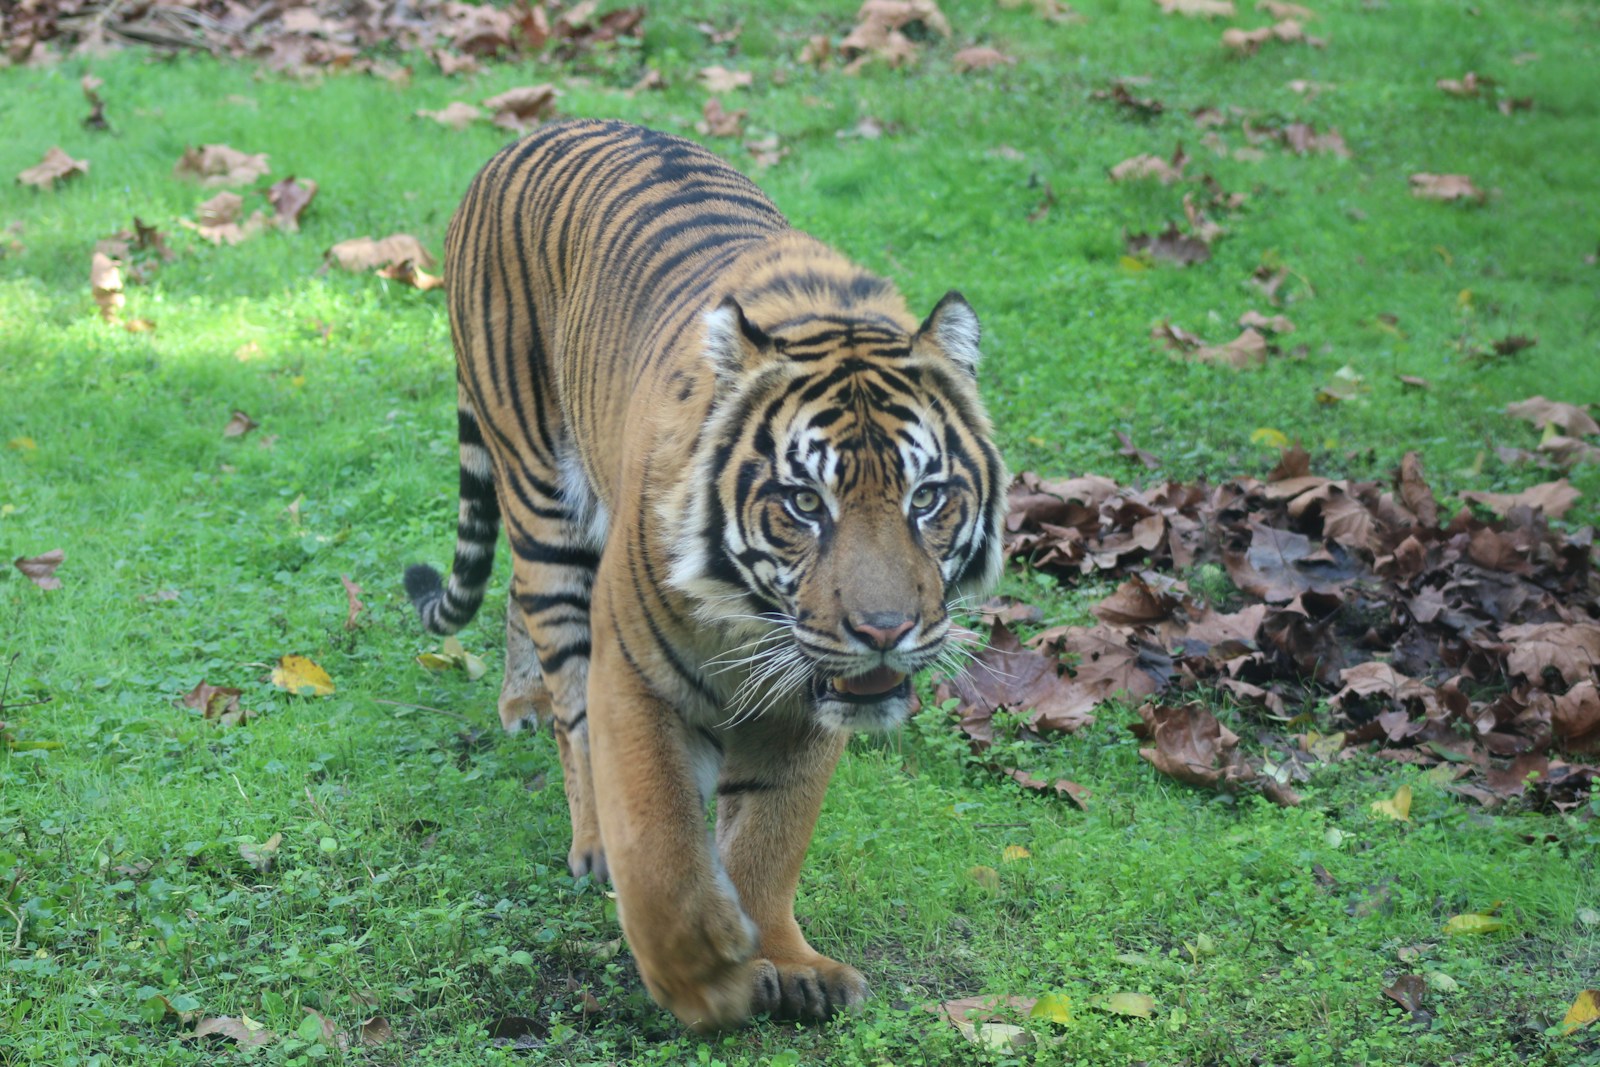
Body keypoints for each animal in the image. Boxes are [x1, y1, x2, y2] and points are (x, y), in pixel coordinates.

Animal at [404, 118, 1006, 1031]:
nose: (885, 631)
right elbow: (659, 839)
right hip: (543, 499)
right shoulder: (635, 675)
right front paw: (701, 970)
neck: (751, 619)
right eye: (804, 502)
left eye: (927, 496)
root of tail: (528, 134)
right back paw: (583, 824)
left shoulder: (806, 701)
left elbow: (769, 834)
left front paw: (783, 960)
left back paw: (518, 702)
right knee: (567, 691)